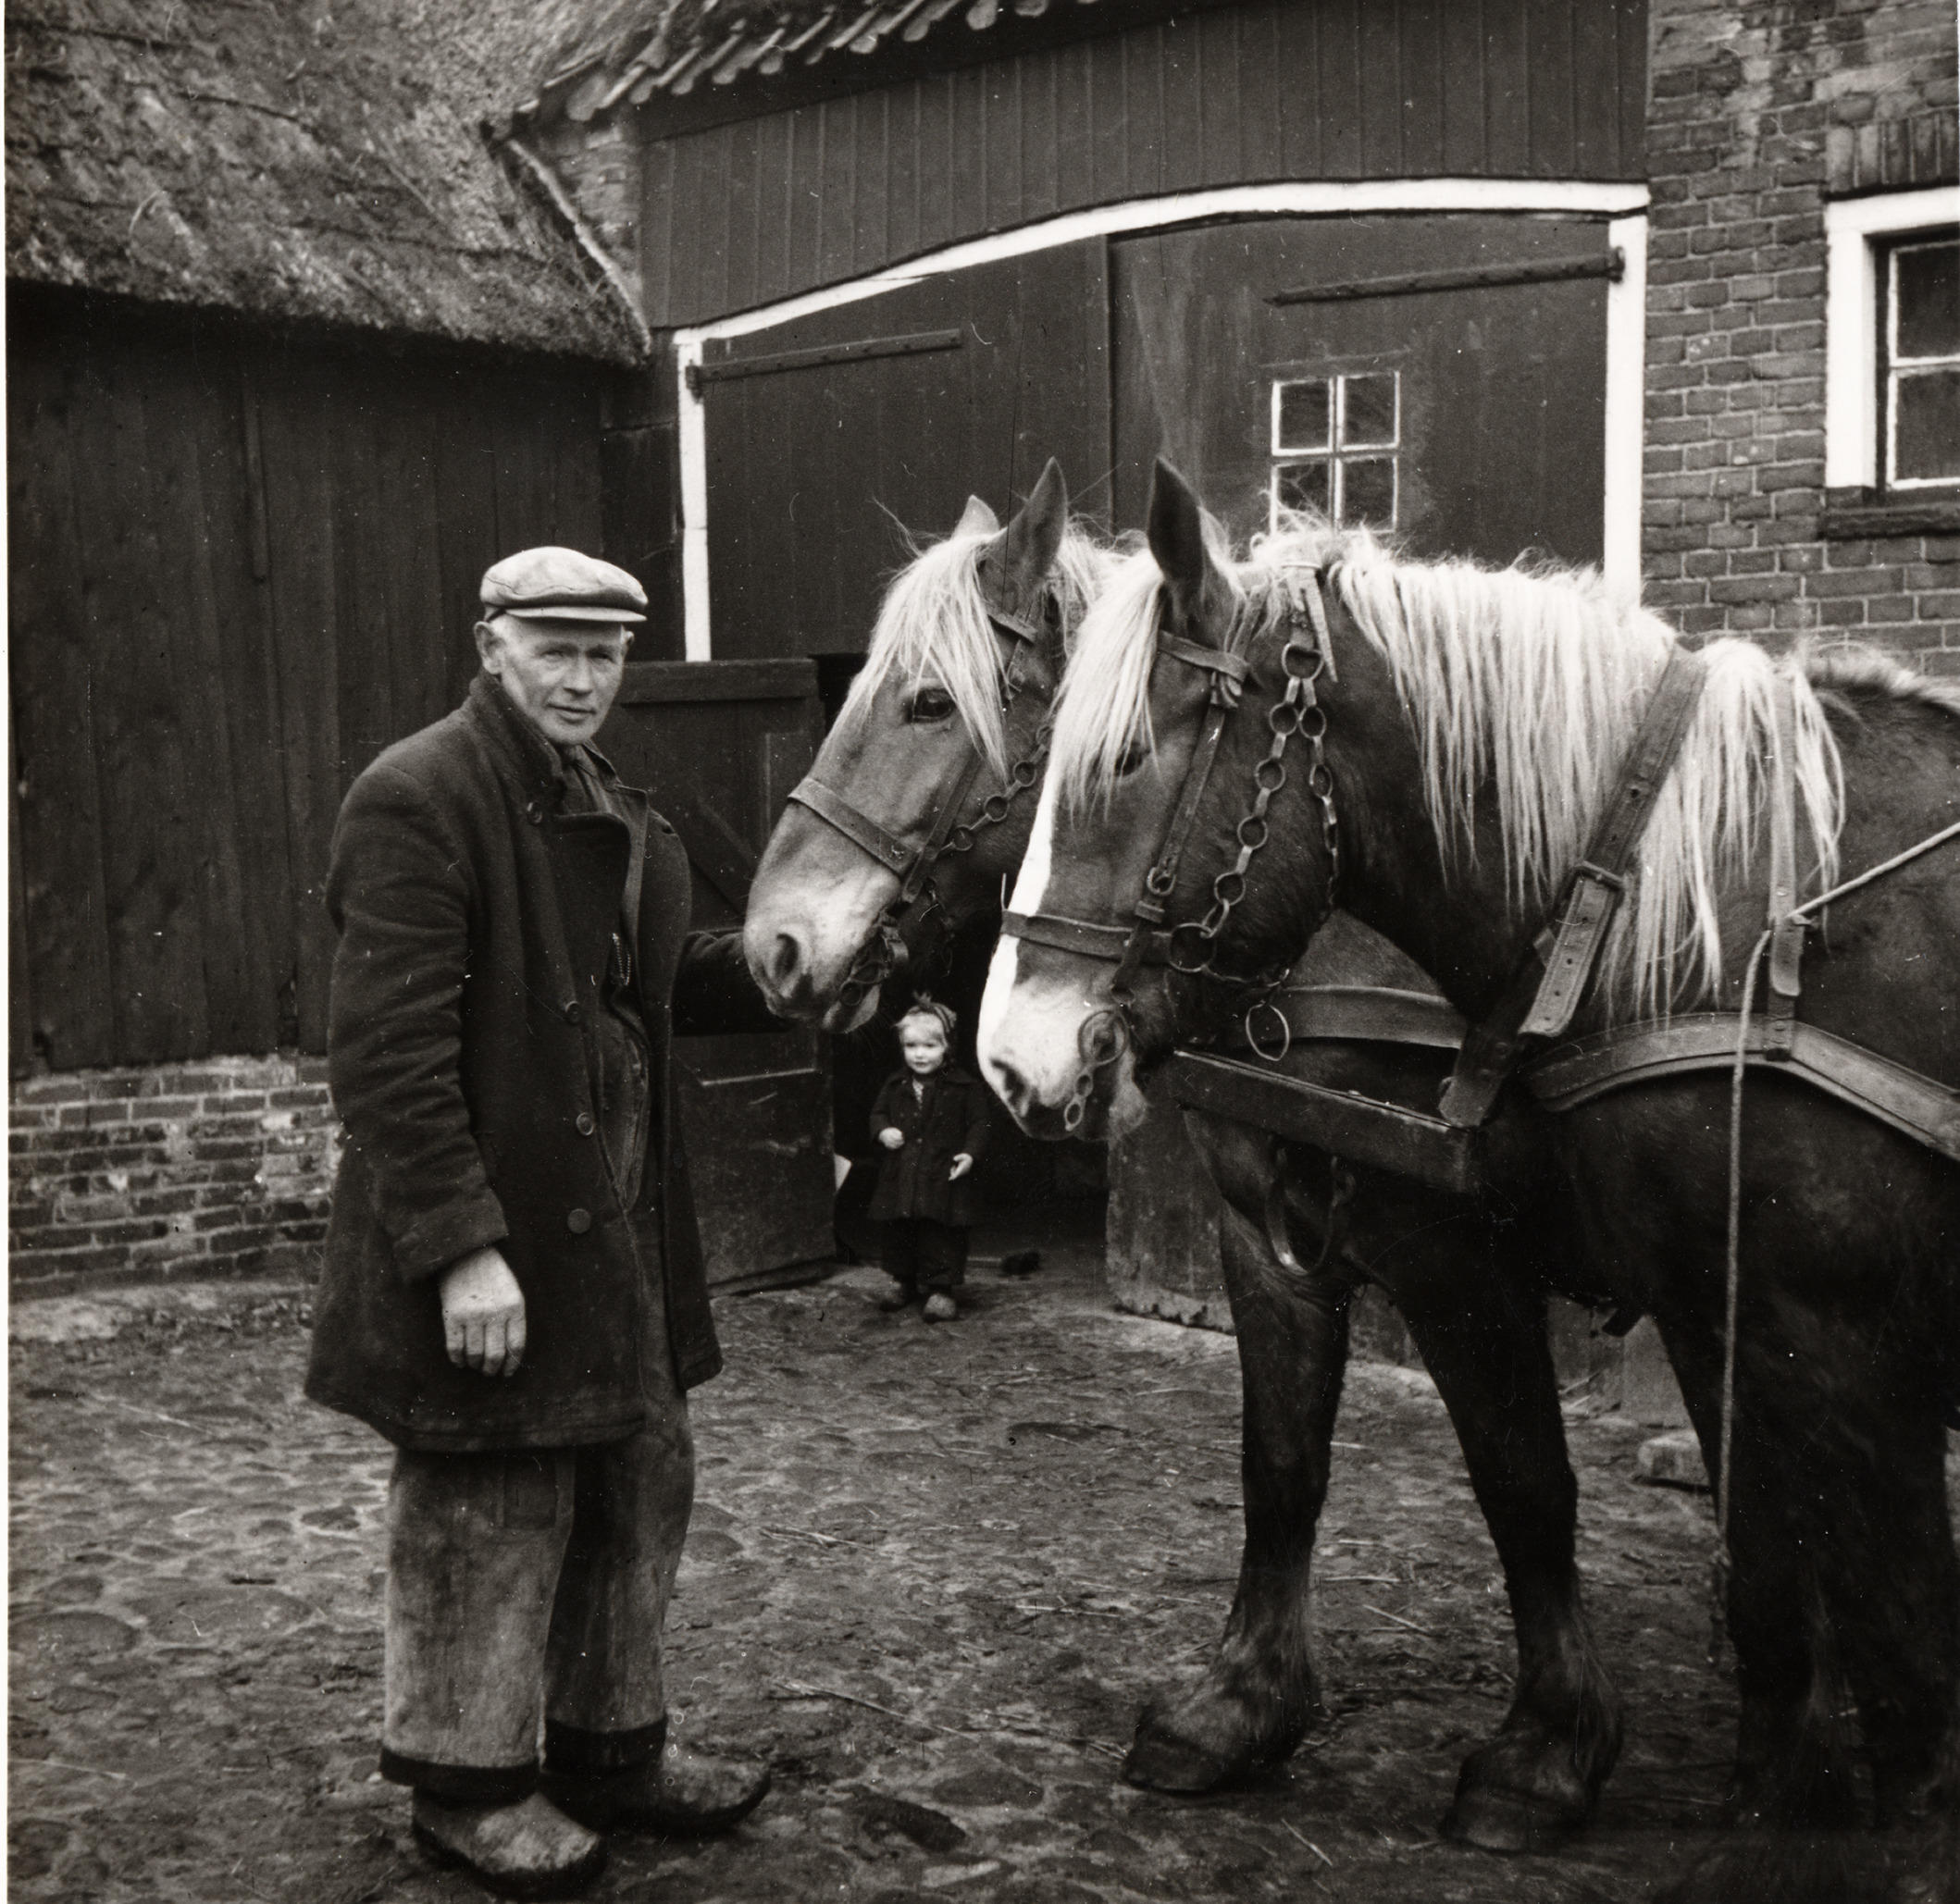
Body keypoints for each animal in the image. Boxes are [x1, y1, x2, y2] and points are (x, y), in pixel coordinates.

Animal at [743, 465, 1632, 1848]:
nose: (769, 943)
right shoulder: (1260, 1234)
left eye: (929, 701)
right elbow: (1280, 1467)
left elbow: (1522, 1479)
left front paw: (1548, 1749)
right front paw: (1241, 1709)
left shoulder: (1453, 1258)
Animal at [978, 456, 1960, 1895]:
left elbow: (1867, 1626)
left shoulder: (1800, 1332)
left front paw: (1549, 1756)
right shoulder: (1699, 1306)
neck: (1715, 906)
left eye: (1116, 760)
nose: (1009, 1058)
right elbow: (1289, 1465)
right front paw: (1240, 1711)